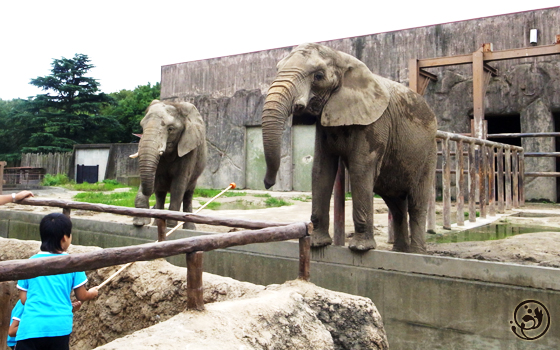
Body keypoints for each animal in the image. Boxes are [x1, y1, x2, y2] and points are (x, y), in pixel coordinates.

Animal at [132, 100, 207, 228]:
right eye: (142, 126)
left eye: (170, 129)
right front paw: (139, 222)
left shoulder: (189, 150)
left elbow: (178, 185)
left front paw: (170, 226)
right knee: (160, 195)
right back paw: (156, 225)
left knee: (188, 194)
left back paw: (189, 228)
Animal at [262, 43, 438, 253]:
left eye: (318, 76)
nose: (267, 183)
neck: (343, 58)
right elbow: (321, 170)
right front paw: (316, 244)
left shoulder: (375, 122)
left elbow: (360, 169)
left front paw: (360, 248)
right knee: (396, 204)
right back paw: (400, 252)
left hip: (428, 151)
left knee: (417, 202)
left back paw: (416, 253)